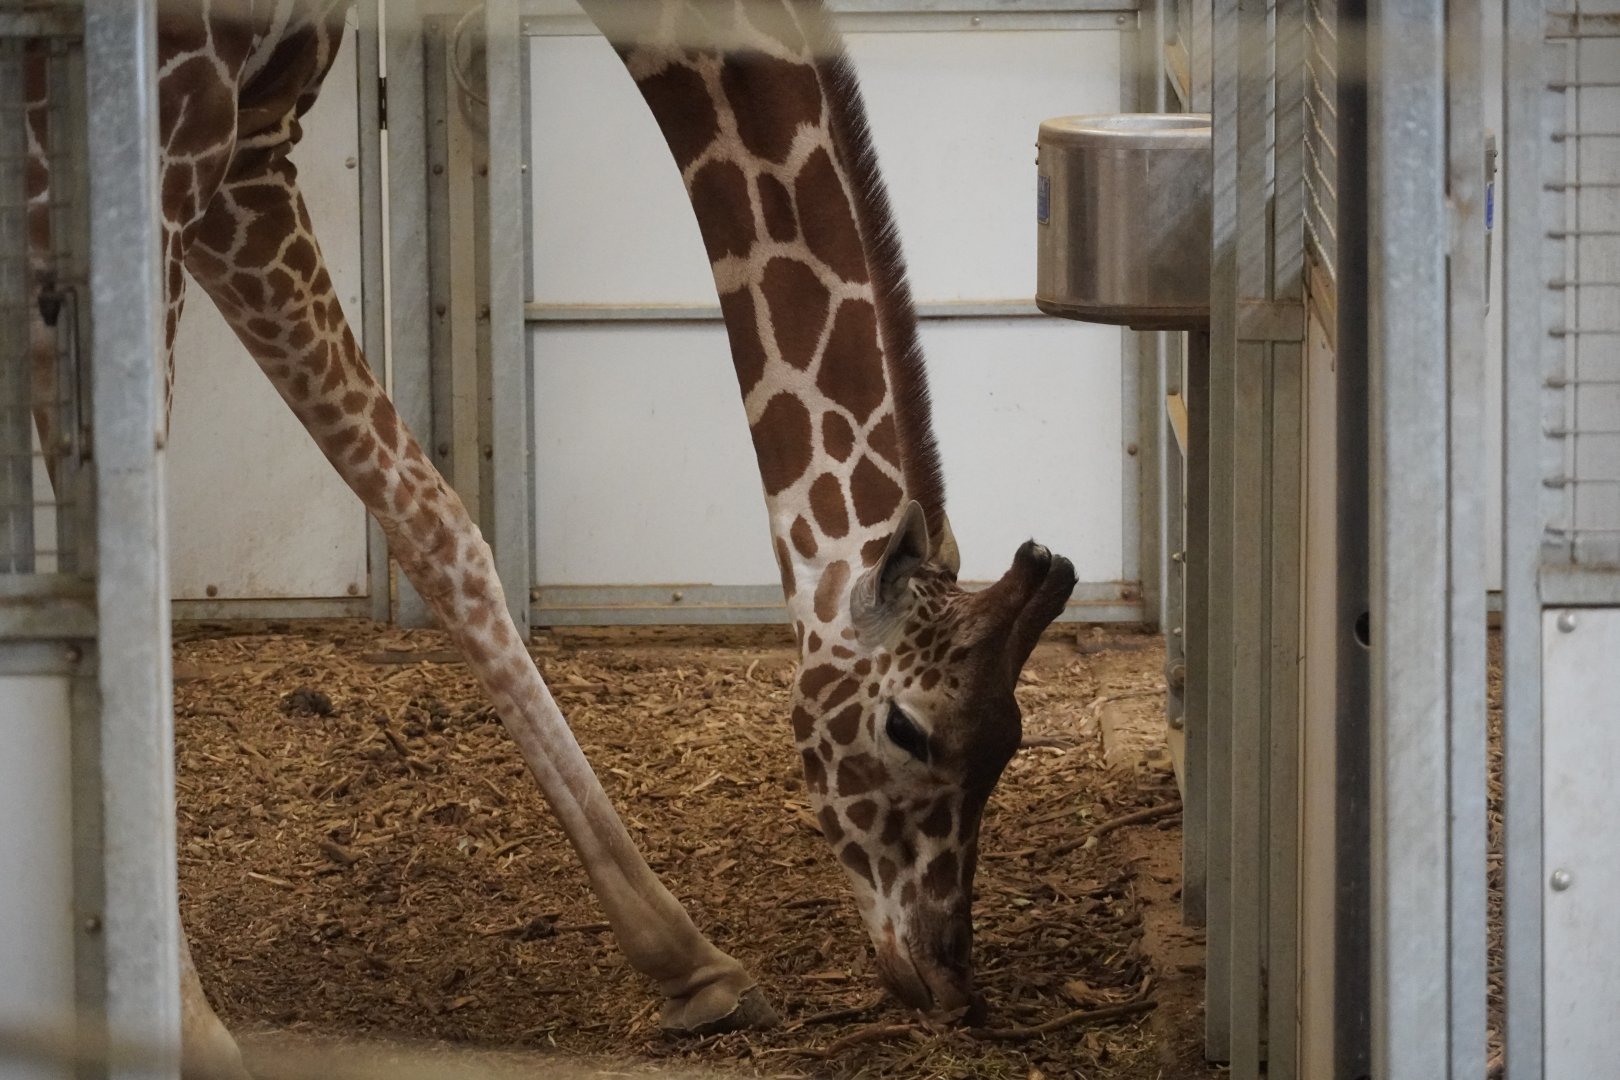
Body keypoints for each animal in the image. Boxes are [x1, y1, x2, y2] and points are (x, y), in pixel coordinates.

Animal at [25, 0, 1077, 1073]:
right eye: (907, 729)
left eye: (1012, 743)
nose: (945, 979)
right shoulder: (154, 130)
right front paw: (186, 1029)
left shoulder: (251, 148)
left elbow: (439, 522)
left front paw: (695, 964)